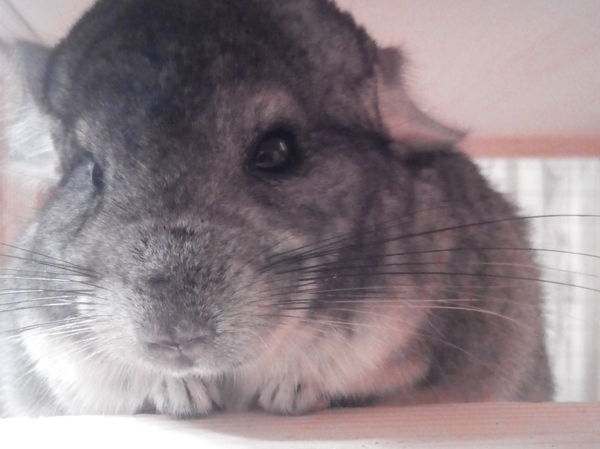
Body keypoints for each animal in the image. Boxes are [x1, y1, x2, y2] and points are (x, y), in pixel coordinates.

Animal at [0, 0, 553, 417]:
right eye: (90, 170)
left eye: (277, 151)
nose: (172, 334)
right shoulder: (51, 362)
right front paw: (178, 392)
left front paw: (292, 390)